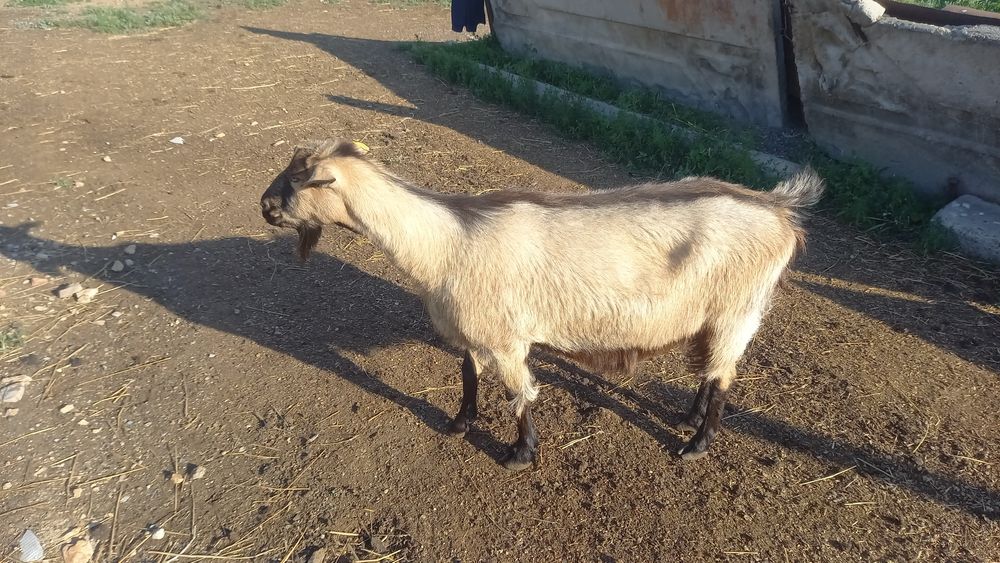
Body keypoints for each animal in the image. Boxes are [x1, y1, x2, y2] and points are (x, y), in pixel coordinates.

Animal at [260, 138, 824, 469]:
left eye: (299, 181)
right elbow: (468, 375)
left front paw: (520, 453)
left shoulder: (508, 338)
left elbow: (520, 394)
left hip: (738, 309)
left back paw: (696, 444)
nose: (264, 206)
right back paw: (687, 418)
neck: (449, 241)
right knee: (710, 371)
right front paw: (460, 423)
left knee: (724, 377)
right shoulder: (473, 330)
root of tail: (781, 211)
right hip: (714, 316)